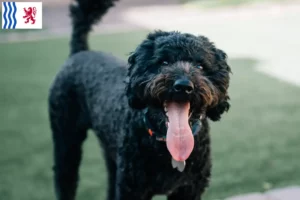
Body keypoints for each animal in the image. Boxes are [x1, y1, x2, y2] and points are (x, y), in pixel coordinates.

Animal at [48, 0, 232, 198]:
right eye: (163, 62)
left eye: (200, 66)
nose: (183, 86)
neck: (165, 145)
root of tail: (80, 52)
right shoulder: (132, 188)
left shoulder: (189, 189)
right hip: (66, 139)